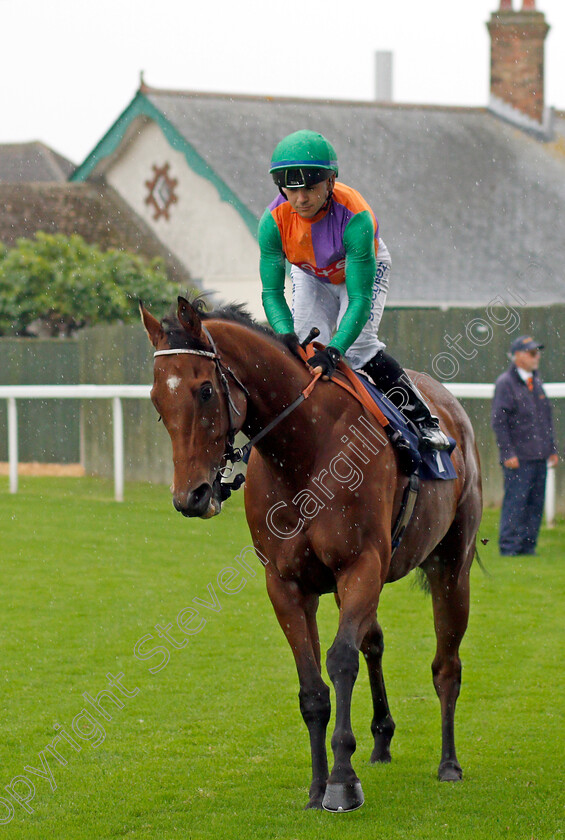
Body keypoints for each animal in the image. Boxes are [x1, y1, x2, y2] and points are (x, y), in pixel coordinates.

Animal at [140, 296, 480, 812]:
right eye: (157, 398)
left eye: (204, 390)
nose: (191, 497)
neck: (304, 448)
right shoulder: (288, 583)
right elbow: (313, 687)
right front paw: (318, 786)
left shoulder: (361, 566)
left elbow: (340, 662)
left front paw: (342, 781)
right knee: (373, 642)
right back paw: (382, 739)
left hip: (450, 566)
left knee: (447, 664)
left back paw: (449, 763)